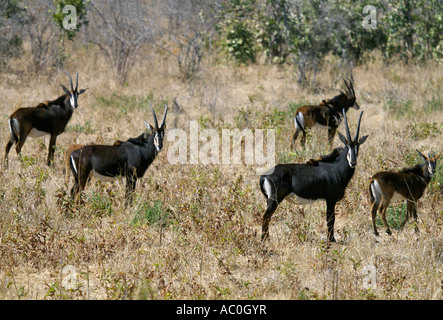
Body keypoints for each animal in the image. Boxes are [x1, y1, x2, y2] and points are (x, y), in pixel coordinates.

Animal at [260, 109, 368, 241]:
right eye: (347, 146)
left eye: (358, 147)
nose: (353, 162)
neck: (336, 168)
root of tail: (264, 176)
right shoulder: (330, 199)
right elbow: (330, 220)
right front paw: (332, 240)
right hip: (274, 200)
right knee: (265, 217)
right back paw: (265, 241)